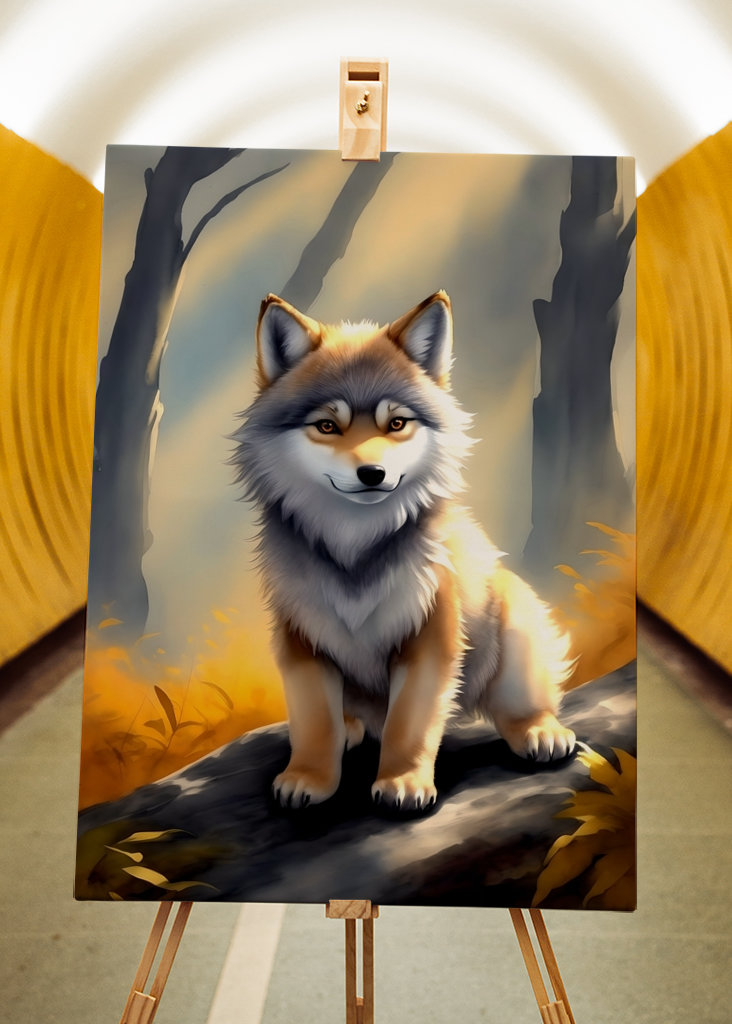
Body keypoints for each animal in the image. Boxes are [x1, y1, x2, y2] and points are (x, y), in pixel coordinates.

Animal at [231, 291, 576, 811]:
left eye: (396, 423)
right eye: (327, 426)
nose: (372, 473)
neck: (355, 549)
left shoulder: (429, 637)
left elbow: (409, 724)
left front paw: (403, 781)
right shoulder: (302, 639)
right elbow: (313, 723)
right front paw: (309, 778)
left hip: (513, 618)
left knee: (519, 704)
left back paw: (539, 731)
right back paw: (351, 729)